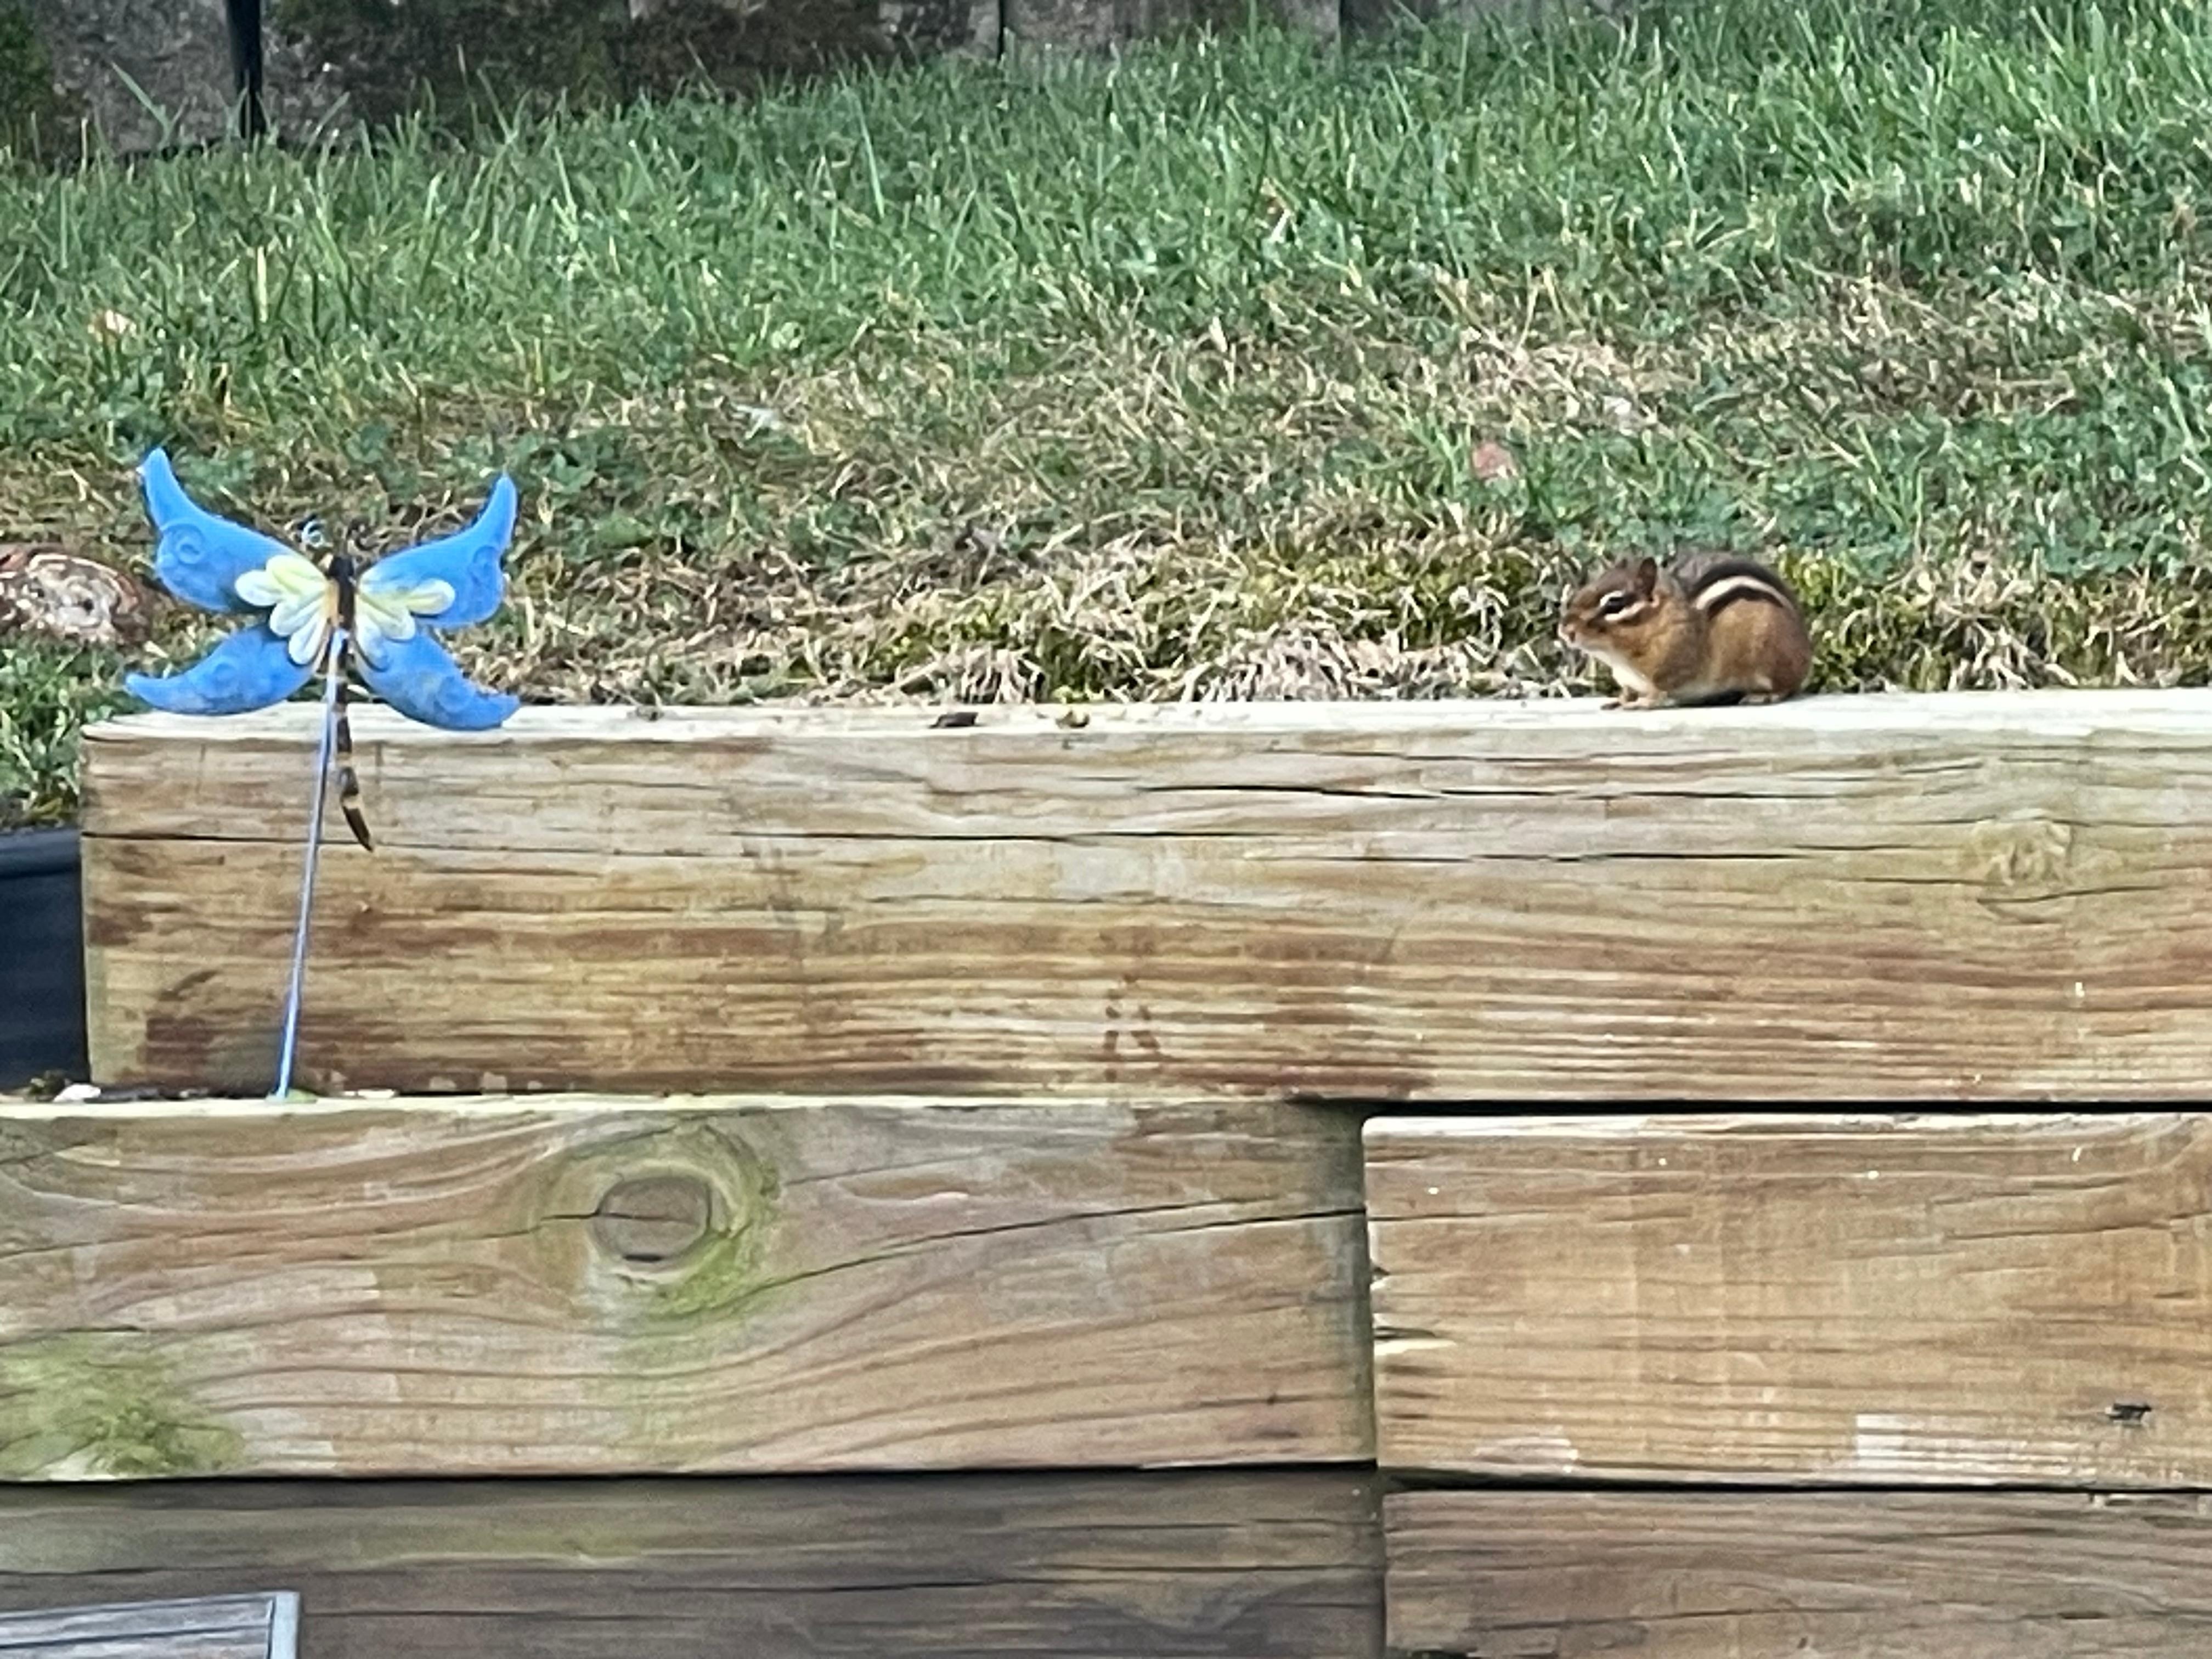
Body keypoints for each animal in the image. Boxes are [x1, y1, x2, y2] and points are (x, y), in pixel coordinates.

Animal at [1558, 552, 1811, 709]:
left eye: (1614, 604)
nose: (1565, 630)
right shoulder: (1626, 678)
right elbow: (1627, 692)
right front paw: (1619, 700)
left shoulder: (1671, 669)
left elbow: (1658, 692)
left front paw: (1643, 703)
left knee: (1788, 687)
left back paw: (1764, 695)